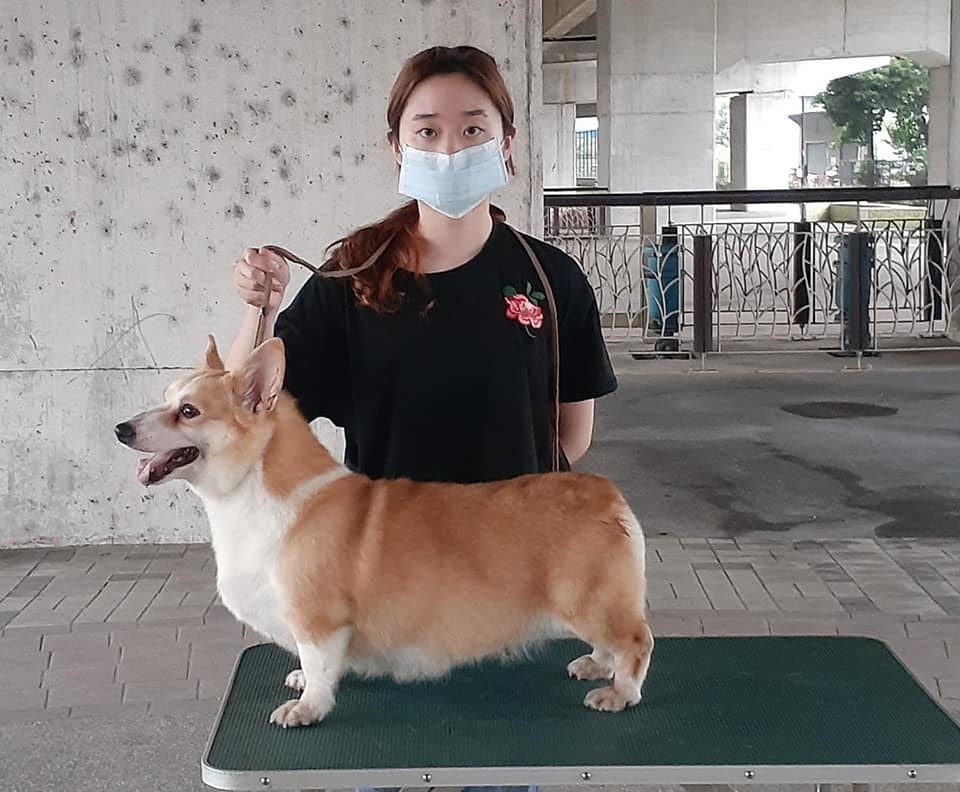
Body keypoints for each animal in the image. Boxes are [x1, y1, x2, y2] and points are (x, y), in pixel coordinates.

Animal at [114, 335, 654, 728]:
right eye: (165, 399)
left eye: (188, 411)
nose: (120, 429)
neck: (253, 491)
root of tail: (609, 493)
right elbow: (318, 667)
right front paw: (303, 682)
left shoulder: (318, 619)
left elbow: (319, 668)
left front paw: (305, 709)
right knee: (613, 644)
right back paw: (595, 664)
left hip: (587, 600)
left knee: (636, 642)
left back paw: (618, 693)